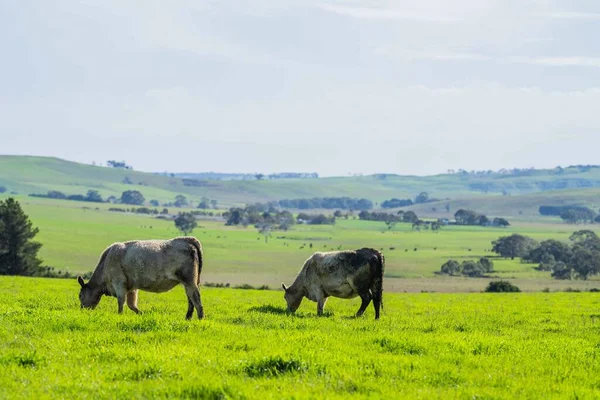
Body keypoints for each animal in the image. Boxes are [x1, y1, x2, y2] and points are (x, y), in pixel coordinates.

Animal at [77, 238, 205, 318]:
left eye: (80, 295)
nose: (82, 310)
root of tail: (187, 240)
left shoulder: (119, 283)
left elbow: (121, 302)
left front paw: (119, 315)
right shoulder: (132, 287)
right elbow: (131, 305)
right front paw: (142, 314)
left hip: (189, 281)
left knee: (196, 299)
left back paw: (200, 318)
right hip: (190, 282)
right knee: (190, 300)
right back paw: (187, 318)